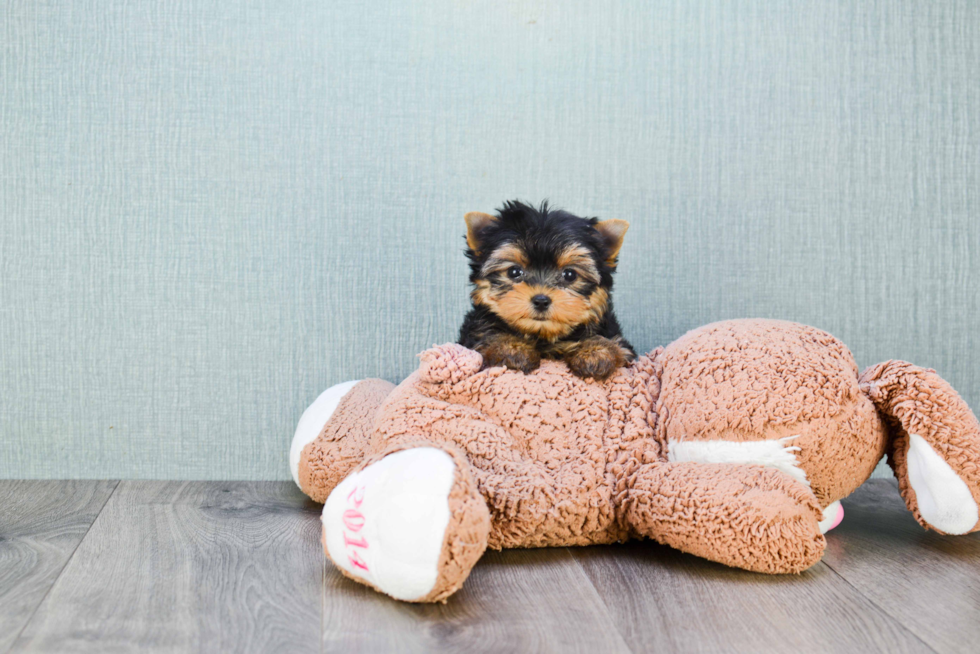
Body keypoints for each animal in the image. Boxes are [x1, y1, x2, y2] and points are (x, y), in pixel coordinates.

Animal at [458, 202, 636, 382]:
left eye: (570, 274)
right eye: (514, 272)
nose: (541, 300)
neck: (542, 334)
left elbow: (611, 341)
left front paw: (596, 353)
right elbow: (489, 334)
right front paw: (512, 348)